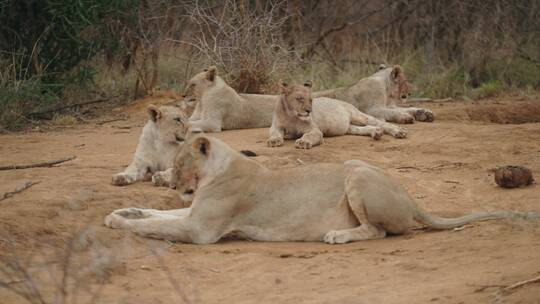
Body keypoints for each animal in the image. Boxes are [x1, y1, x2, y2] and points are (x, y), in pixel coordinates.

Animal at [103, 135, 536, 245]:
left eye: (179, 164)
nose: (175, 183)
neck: (215, 169)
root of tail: (411, 196)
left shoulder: (201, 230)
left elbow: (154, 226)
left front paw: (122, 224)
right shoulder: (195, 214)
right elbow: (158, 214)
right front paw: (118, 213)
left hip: (356, 176)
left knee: (379, 231)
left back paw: (337, 236)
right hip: (358, 165)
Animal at [268, 79, 408, 148]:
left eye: (310, 100)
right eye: (299, 98)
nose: (309, 110)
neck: (292, 116)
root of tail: (342, 102)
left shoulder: (315, 130)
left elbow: (309, 135)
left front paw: (303, 142)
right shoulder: (276, 127)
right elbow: (275, 133)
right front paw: (274, 141)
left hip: (358, 115)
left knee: (381, 123)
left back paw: (399, 131)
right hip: (348, 127)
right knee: (365, 128)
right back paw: (376, 133)